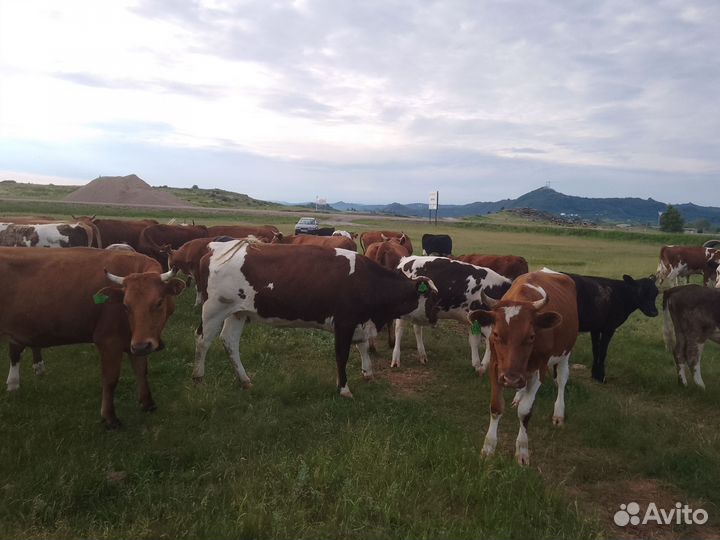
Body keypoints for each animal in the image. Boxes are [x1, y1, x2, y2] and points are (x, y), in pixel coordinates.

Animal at [0, 247, 185, 427]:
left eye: (159, 302)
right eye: (126, 306)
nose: (142, 346)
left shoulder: (135, 340)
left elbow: (141, 370)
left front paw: (148, 403)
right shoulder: (109, 342)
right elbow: (110, 379)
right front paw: (109, 417)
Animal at [192, 241, 440, 397]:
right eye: (431, 297)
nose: (435, 317)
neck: (369, 281)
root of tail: (214, 249)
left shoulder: (359, 323)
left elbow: (362, 348)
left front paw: (367, 373)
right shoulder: (344, 322)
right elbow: (342, 355)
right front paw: (344, 388)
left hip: (238, 312)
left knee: (230, 342)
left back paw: (245, 380)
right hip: (214, 308)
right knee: (202, 340)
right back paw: (198, 377)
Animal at [468, 270, 578, 465]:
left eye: (532, 336)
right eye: (496, 334)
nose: (511, 379)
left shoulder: (539, 370)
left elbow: (525, 412)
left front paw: (522, 450)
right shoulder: (496, 368)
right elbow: (496, 407)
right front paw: (488, 447)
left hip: (565, 353)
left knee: (562, 380)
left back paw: (559, 413)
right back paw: (518, 396)